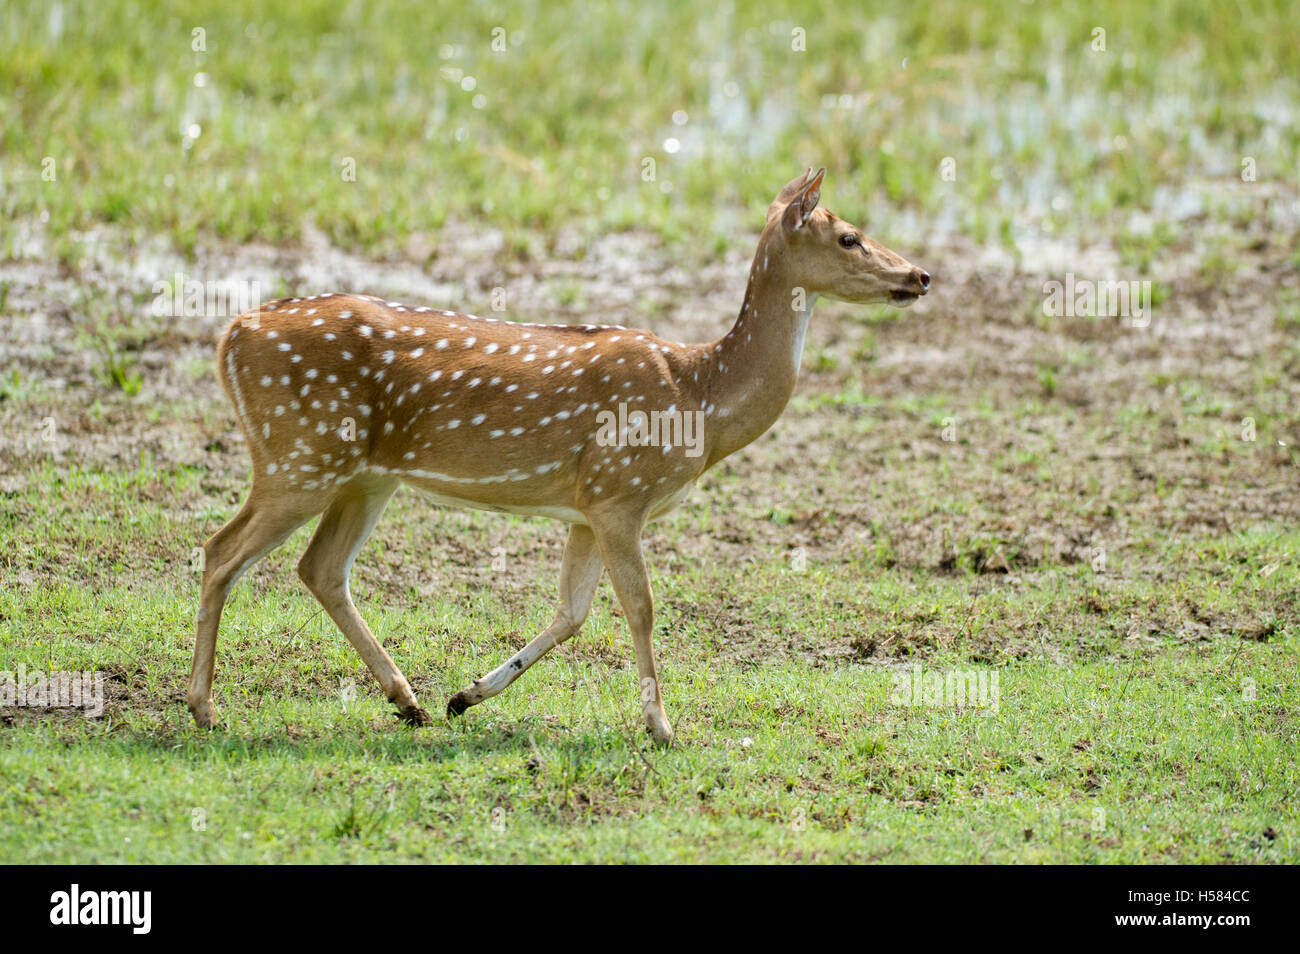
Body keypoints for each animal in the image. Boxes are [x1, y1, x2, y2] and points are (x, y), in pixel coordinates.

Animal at [188, 167, 930, 743]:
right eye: (849, 235)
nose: (921, 275)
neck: (700, 398)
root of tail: (231, 335)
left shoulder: (585, 505)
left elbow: (570, 613)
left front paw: (467, 696)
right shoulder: (621, 492)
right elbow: (641, 606)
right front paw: (662, 728)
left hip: (363, 477)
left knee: (320, 567)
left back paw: (410, 702)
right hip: (297, 455)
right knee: (222, 550)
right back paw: (204, 708)